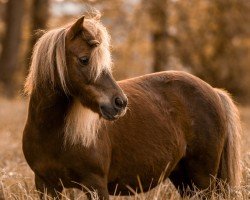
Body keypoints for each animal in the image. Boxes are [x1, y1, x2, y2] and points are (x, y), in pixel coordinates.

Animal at [22, 14, 241, 199]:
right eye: (84, 59)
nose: (120, 103)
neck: (52, 134)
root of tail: (214, 91)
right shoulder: (46, 185)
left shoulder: (95, 185)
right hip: (184, 178)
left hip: (203, 178)